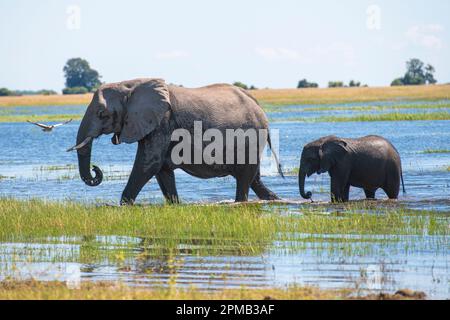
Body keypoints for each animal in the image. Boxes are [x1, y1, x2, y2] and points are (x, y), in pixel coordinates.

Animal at [67, 79, 282, 206]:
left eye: (101, 114)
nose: (95, 169)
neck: (130, 84)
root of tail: (258, 105)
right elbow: (162, 170)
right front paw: (176, 205)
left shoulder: (162, 122)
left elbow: (148, 165)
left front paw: (124, 205)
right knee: (253, 178)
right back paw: (274, 199)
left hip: (252, 136)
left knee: (245, 179)